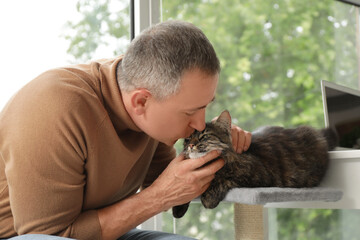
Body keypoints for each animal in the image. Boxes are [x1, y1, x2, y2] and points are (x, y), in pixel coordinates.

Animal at [172, 109, 338, 218]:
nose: (190, 145)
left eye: (204, 136)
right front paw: (178, 208)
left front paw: (208, 198)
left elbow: (225, 180)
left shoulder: (257, 174)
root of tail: (318, 134)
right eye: (187, 139)